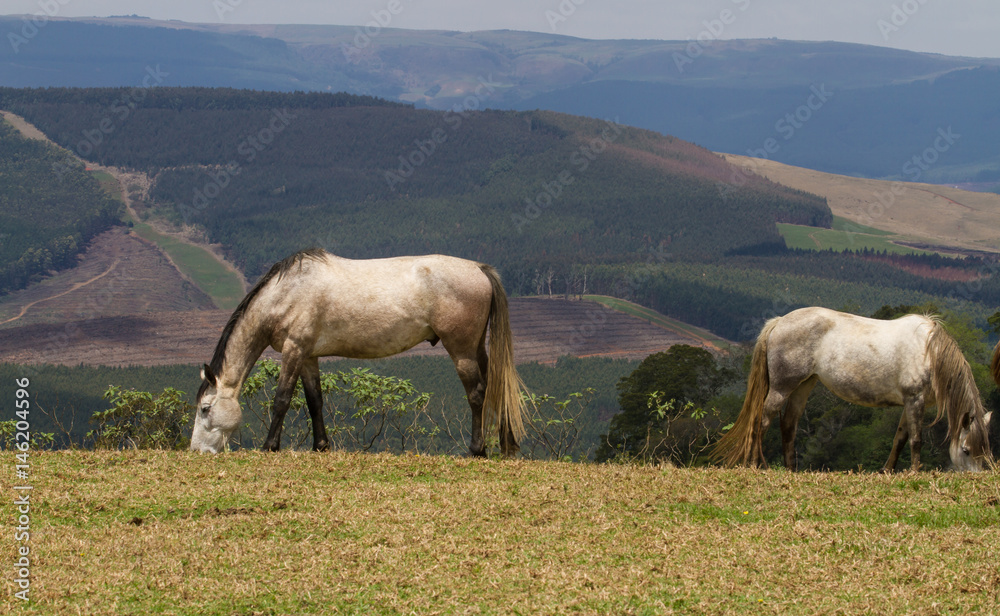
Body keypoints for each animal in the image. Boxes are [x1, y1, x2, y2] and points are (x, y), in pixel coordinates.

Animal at [190, 248, 528, 454]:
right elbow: (315, 401)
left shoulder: (293, 349)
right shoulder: (308, 356)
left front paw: (270, 446)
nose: (197, 450)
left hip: (461, 350)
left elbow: (282, 399)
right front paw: (321, 446)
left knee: (477, 394)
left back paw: (477, 450)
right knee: (496, 388)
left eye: (205, 408)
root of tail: (479, 269)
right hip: (477, 348)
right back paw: (504, 445)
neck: (287, 291)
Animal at [712, 306, 992, 472]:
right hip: (783, 387)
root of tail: (779, 322)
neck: (929, 352)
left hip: (804, 385)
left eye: (984, 451)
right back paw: (756, 464)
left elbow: (900, 438)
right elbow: (915, 439)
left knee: (789, 424)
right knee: (763, 419)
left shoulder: (909, 402)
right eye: (966, 450)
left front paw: (887, 471)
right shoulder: (915, 400)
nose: (974, 478)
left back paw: (791, 469)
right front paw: (914, 472)